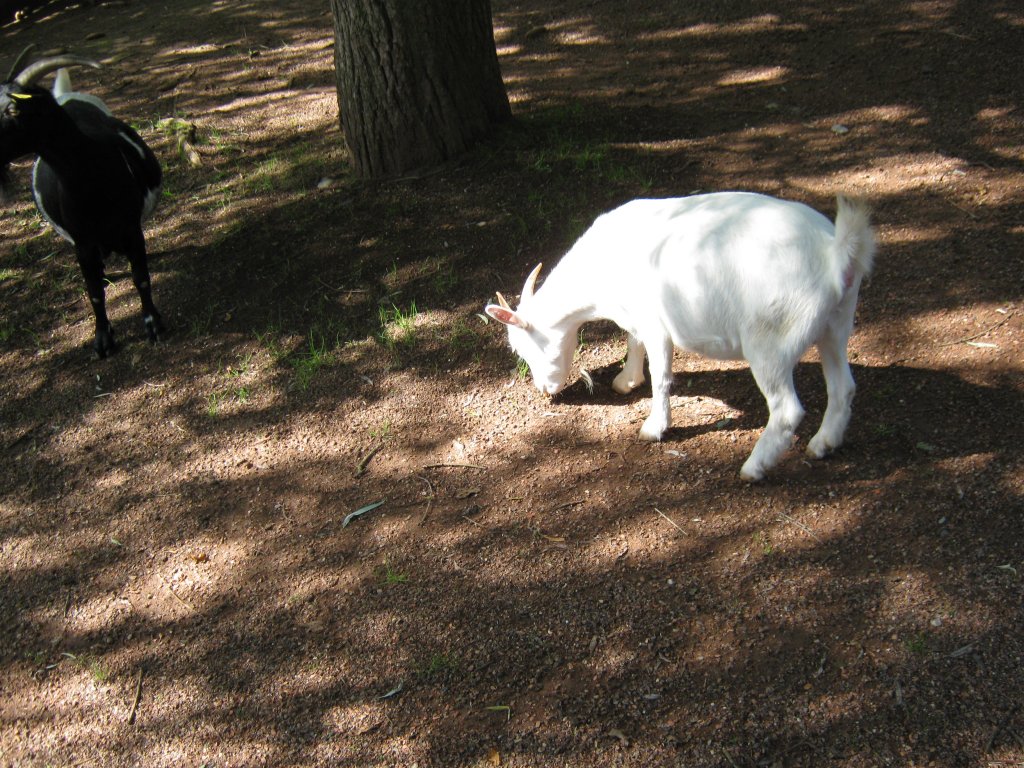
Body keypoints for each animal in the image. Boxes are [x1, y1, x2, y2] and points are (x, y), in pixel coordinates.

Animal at [1, 50, 163, 358]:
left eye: (13, 109)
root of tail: (66, 94)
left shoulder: (131, 230)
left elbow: (141, 278)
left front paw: (152, 324)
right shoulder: (82, 243)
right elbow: (94, 293)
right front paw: (102, 339)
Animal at [483, 192, 876, 481]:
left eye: (522, 348)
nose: (544, 390)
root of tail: (835, 255)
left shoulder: (657, 325)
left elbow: (660, 376)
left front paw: (654, 427)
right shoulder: (638, 316)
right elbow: (632, 341)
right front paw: (627, 380)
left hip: (770, 341)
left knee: (787, 410)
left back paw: (754, 467)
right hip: (834, 326)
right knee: (843, 387)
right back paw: (824, 443)